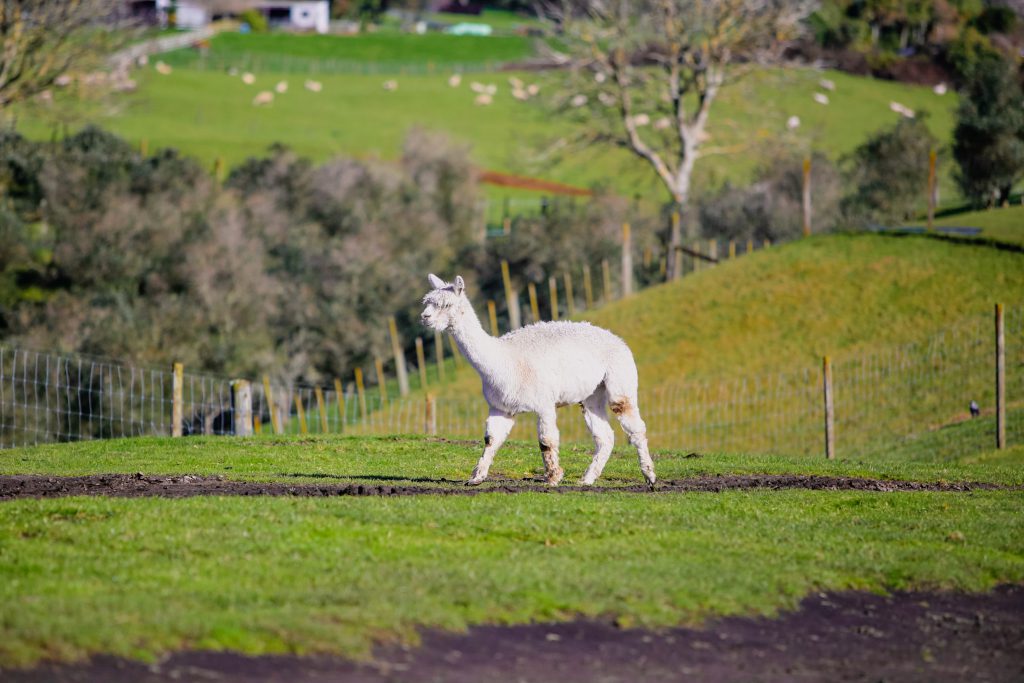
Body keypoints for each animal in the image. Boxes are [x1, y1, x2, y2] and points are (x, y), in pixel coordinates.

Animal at [421, 274, 657, 488]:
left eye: (446, 304)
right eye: (427, 302)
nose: (425, 317)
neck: (504, 361)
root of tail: (618, 340)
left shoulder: (544, 402)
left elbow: (546, 441)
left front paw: (553, 478)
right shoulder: (500, 407)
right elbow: (491, 439)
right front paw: (476, 478)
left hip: (620, 378)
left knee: (634, 426)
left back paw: (650, 477)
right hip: (592, 394)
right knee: (604, 436)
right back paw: (587, 480)